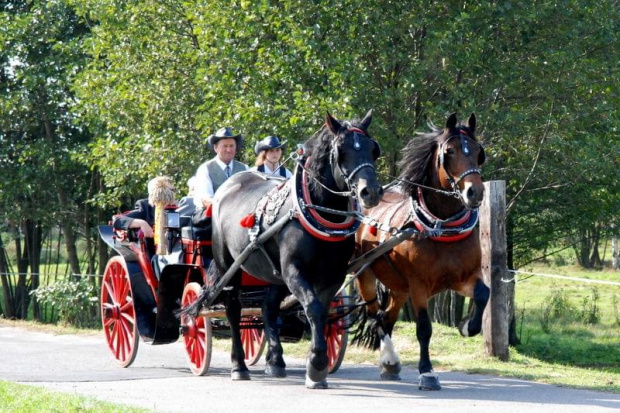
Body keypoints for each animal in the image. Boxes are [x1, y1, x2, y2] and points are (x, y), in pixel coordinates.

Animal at [182, 109, 382, 386]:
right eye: (342, 150)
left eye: (373, 149)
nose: (370, 192)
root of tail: (229, 184)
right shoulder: (294, 271)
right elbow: (313, 307)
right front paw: (316, 364)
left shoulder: (333, 275)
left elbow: (321, 312)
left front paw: (315, 365)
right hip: (228, 268)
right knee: (233, 308)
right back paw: (239, 366)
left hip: (272, 273)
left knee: (268, 307)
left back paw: (275, 361)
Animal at [354, 112, 490, 390]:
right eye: (449, 151)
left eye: (478, 152)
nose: (475, 192)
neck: (441, 226)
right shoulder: (418, 285)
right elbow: (424, 328)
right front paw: (427, 372)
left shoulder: (463, 278)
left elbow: (484, 293)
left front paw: (467, 326)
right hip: (366, 275)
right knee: (375, 316)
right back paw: (390, 359)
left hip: (398, 287)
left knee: (387, 317)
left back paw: (388, 364)